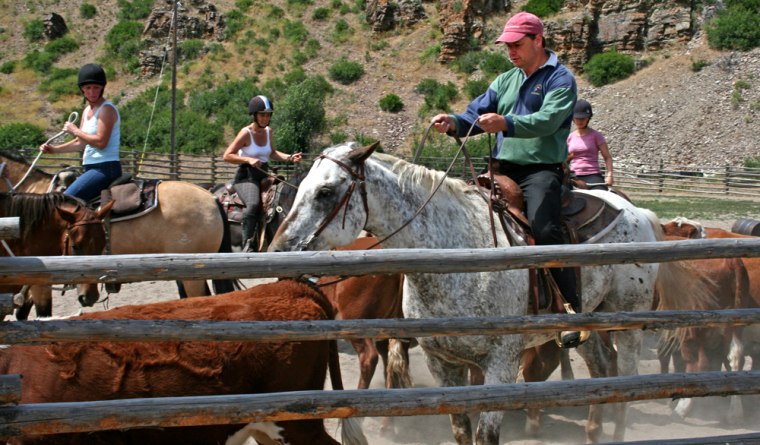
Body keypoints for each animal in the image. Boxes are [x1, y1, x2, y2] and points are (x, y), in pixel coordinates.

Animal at [268, 141, 707, 444]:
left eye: (326, 191)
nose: (278, 250)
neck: (456, 251)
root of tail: (636, 211)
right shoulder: (443, 362)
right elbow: (461, 430)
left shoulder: (501, 362)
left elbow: (486, 434)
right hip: (590, 322)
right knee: (601, 369)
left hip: (627, 318)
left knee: (627, 377)